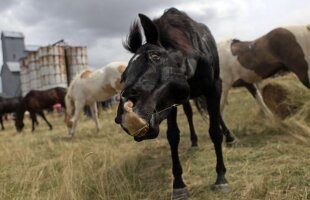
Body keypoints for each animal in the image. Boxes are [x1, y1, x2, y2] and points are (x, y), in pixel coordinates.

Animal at [115, 7, 232, 198]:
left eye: (155, 56)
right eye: (123, 76)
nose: (124, 115)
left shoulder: (214, 87)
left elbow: (214, 131)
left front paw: (221, 177)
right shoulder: (169, 103)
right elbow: (173, 137)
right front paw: (178, 184)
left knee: (215, 115)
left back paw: (230, 138)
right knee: (190, 114)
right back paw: (194, 143)